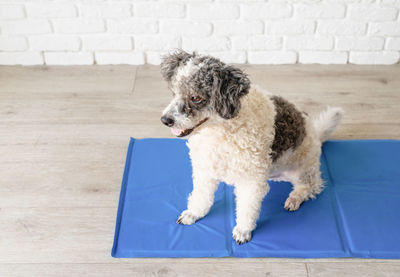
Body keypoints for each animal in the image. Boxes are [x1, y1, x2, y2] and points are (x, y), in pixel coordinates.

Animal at [159, 49, 344, 244]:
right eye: (173, 92)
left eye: (196, 98)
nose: (165, 120)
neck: (221, 130)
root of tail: (316, 134)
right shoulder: (205, 170)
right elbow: (201, 196)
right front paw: (193, 214)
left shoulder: (251, 181)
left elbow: (247, 208)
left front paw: (242, 230)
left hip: (303, 170)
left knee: (312, 187)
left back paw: (295, 198)